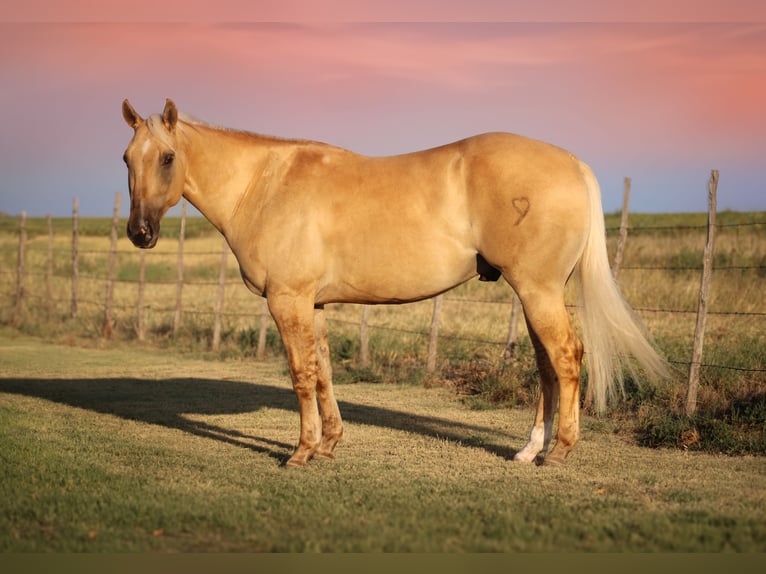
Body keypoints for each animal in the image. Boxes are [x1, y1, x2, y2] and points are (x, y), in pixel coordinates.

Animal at [121, 98, 667, 468]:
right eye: (127, 158)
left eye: (166, 157)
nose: (140, 233)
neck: (265, 184)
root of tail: (572, 162)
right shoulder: (313, 304)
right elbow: (323, 372)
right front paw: (329, 445)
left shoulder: (287, 300)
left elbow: (300, 375)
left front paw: (301, 452)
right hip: (537, 294)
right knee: (548, 367)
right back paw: (530, 449)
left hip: (538, 292)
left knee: (567, 358)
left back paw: (559, 451)